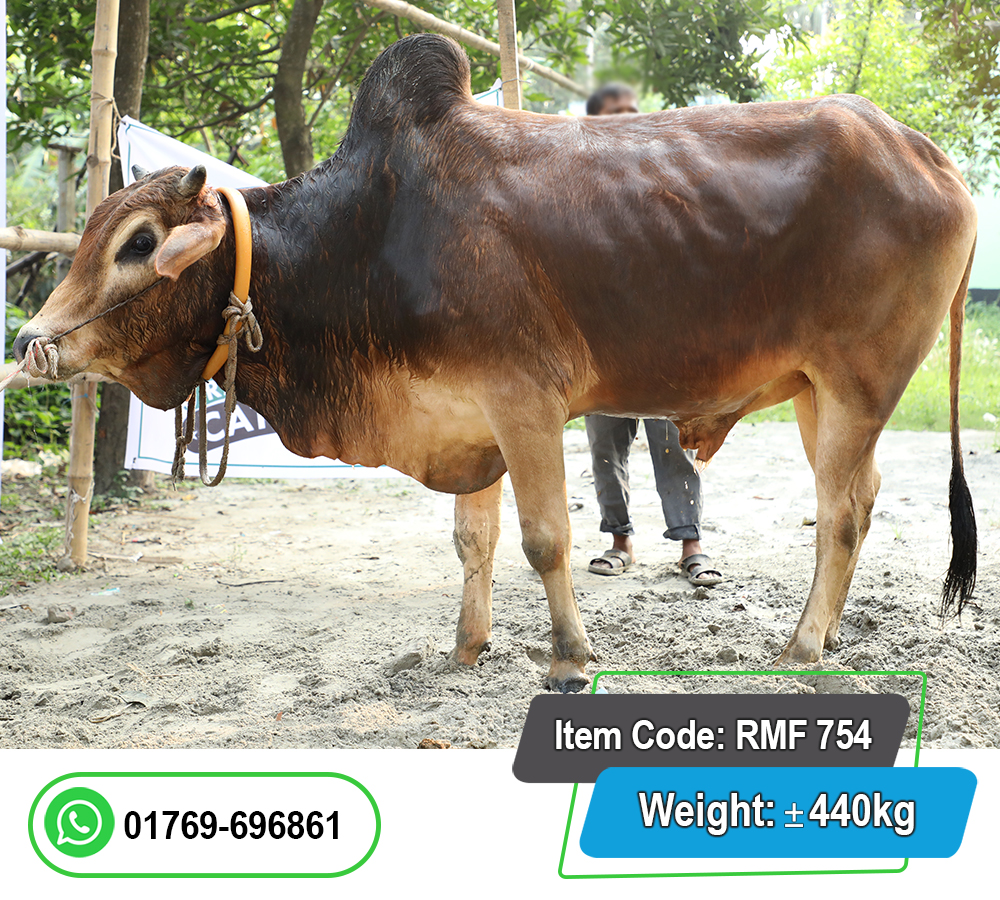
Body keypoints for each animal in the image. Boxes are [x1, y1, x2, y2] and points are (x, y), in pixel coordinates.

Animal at [14, 34, 977, 692]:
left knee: (841, 513)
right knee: (860, 498)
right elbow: (470, 540)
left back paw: (804, 645)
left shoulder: (525, 401)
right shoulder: (465, 416)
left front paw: (569, 660)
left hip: (857, 385)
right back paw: (832, 632)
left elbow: (545, 538)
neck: (369, 235)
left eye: (141, 243)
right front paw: (465, 647)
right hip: (818, 392)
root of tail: (932, 158)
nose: (31, 343)